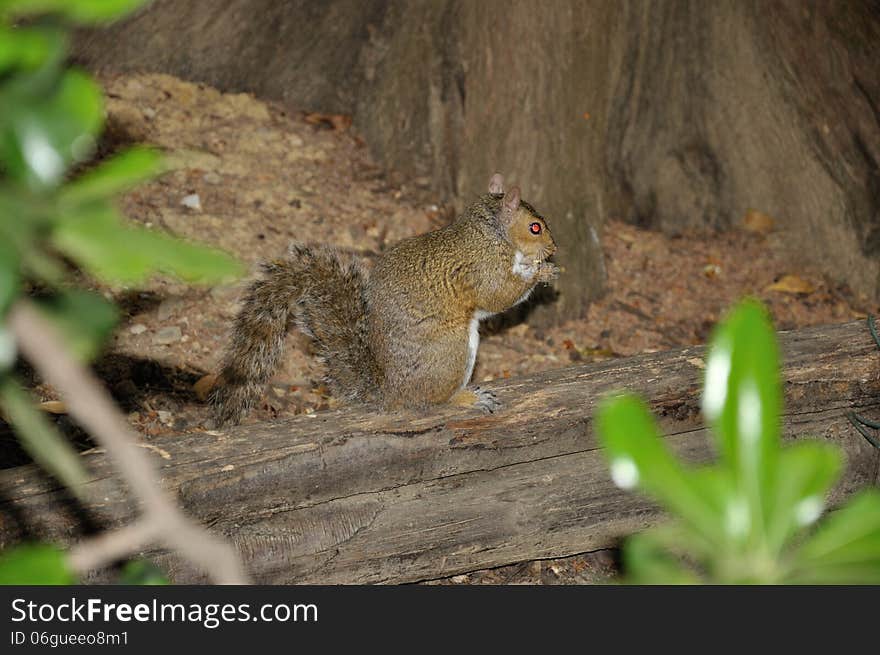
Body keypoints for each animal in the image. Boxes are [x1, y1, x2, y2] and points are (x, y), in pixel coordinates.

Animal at [211, 174, 556, 428]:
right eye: (534, 227)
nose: (553, 248)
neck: (491, 235)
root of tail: (390, 392)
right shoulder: (482, 269)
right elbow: (499, 295)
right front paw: (541, 272)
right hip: (452, 351)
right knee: (434, 400)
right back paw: (466, 399)